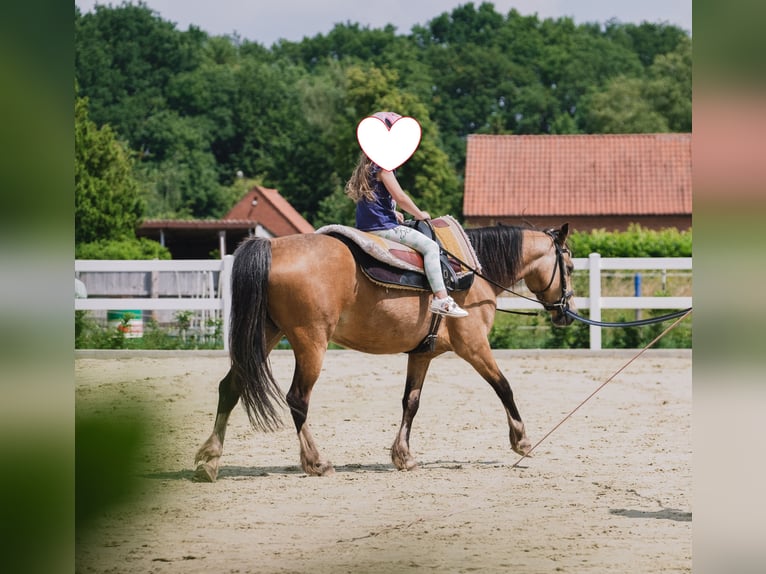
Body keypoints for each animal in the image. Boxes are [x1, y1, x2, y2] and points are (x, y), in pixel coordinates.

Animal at [194, 223, 576, 484]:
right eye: (570, 267)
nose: (566, 312)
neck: (474, 272)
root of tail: (272, 245)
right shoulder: (474, 346)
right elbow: (504, 386)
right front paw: (522, 440)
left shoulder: (421, 355)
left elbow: (411, 402)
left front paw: (403, 456)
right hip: (310, 343)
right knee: (297, 399)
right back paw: (316, 462)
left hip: (264, 335)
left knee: (230, 387)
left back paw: (210, 459)